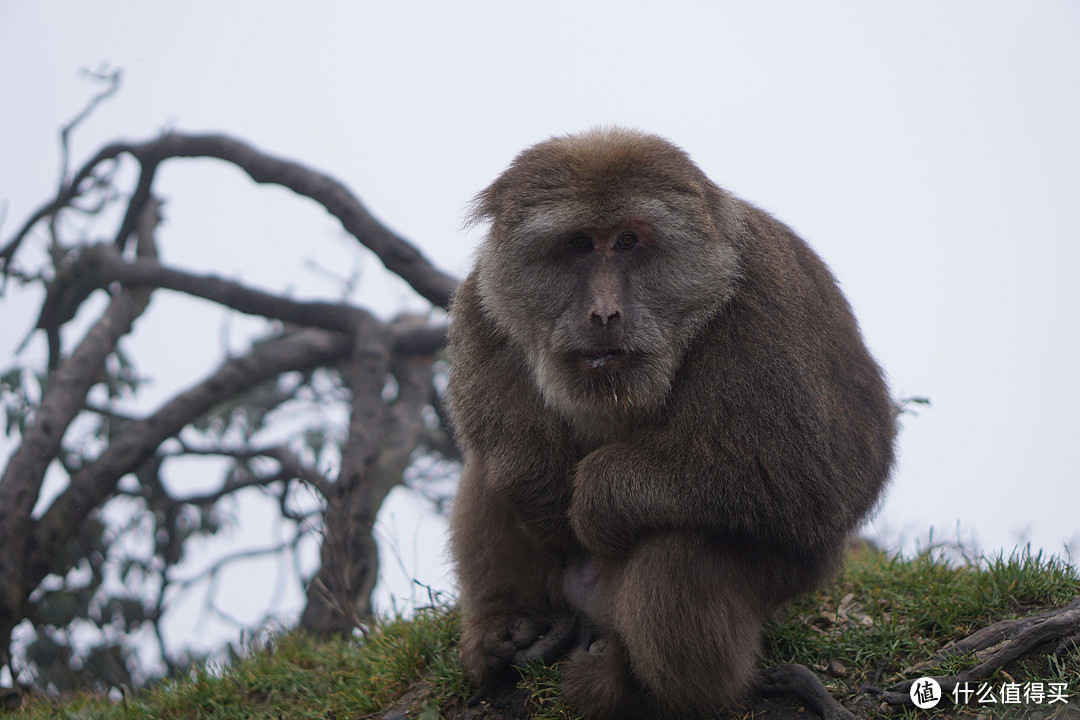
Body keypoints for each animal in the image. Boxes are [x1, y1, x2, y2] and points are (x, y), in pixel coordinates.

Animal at [447, 126, 894, 716]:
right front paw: (538, 483)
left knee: (679, 542)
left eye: (628, 243)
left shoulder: (765, 301)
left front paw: (596, 497)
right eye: (580, 244)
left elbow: (824, 472)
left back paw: (646, 687)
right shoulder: (482, 303)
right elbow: (507, 451)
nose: (605, 314)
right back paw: (506, 628)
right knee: (488, 470)